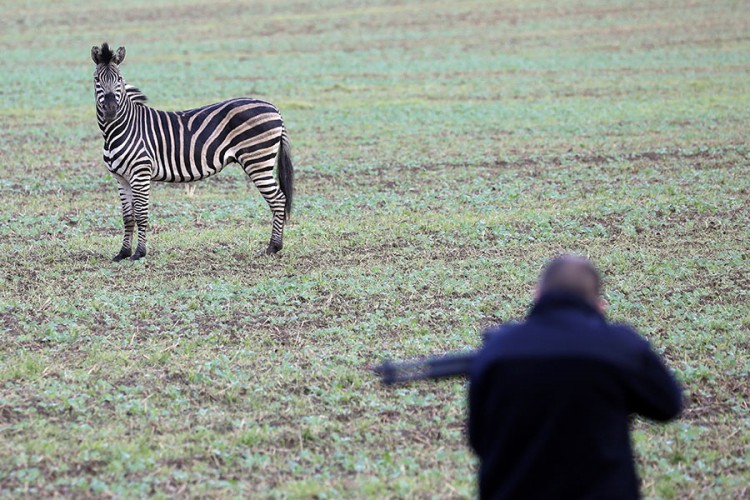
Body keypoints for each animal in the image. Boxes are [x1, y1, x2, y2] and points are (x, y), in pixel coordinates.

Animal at [91, 43, 294, 260]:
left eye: (119, 79)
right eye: (96, 80)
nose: (111, 109)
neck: (121, 128)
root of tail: (273, 107)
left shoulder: (140, 173)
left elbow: (141, 214)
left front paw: (139, 253)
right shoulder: (121, 178)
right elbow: (128, 217)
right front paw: (123, 253)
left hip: (258, 160)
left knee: (278, 199)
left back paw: (273, 247)